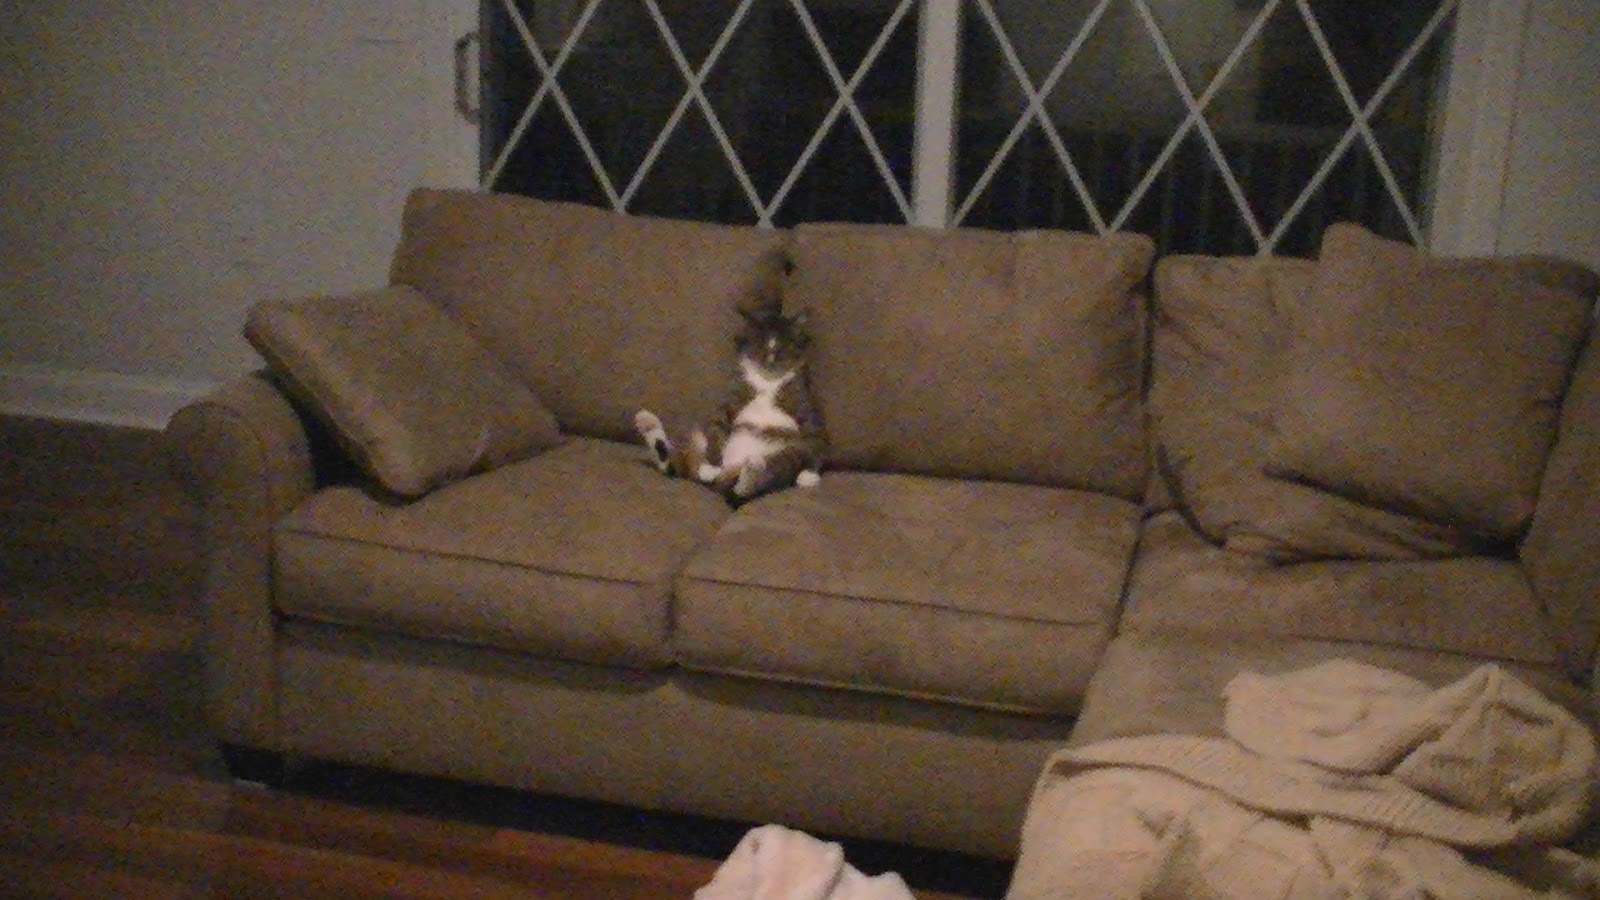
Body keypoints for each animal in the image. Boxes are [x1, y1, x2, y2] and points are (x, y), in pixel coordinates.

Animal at [634, 306, 825, 503]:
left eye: (784, 347)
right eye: (759, 346)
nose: (770, 362)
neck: (768, 382)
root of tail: (725, 476)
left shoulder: (807, 411)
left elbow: (815, 442)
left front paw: (809, 474)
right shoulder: (729, 406)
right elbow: (716, 430)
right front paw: (710, 466)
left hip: (789, 454)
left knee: (749, 486)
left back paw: (754, 466)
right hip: (695, 438)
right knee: (675, 466)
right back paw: (647, 423)